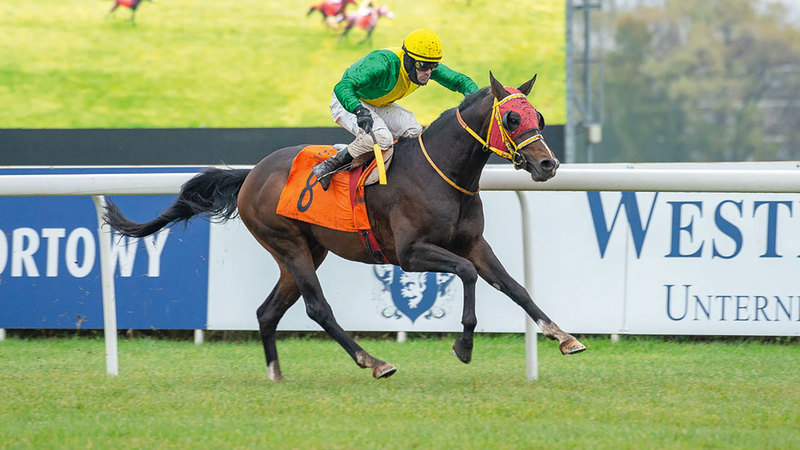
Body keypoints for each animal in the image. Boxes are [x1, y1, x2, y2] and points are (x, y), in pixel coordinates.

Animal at [103, 72, 586, 381]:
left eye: (539, 117)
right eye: (512, 119)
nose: (547, 164)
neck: (441, 173)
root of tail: (251, 173)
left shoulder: (473, 243)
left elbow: (514, 286)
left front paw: (564, 336)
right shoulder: (411, 255)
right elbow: (467, 276)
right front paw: (463, 345)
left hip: (303, 252)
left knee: (268, 311)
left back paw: (276, 374)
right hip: (289, 245)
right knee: (318, 309)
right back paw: (374, 361)